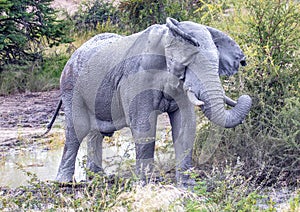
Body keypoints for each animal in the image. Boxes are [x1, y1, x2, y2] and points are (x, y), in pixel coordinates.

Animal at [47, 17, 252, 186]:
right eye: (187, 64)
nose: (244, 96)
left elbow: (186, 125)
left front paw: (187, 186)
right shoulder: (138, 77)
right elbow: (144, 125)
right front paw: (147, 184)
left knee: (94, 133)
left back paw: (98, 177)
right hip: (71, 88)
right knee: (77, 130)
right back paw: (64, 183)